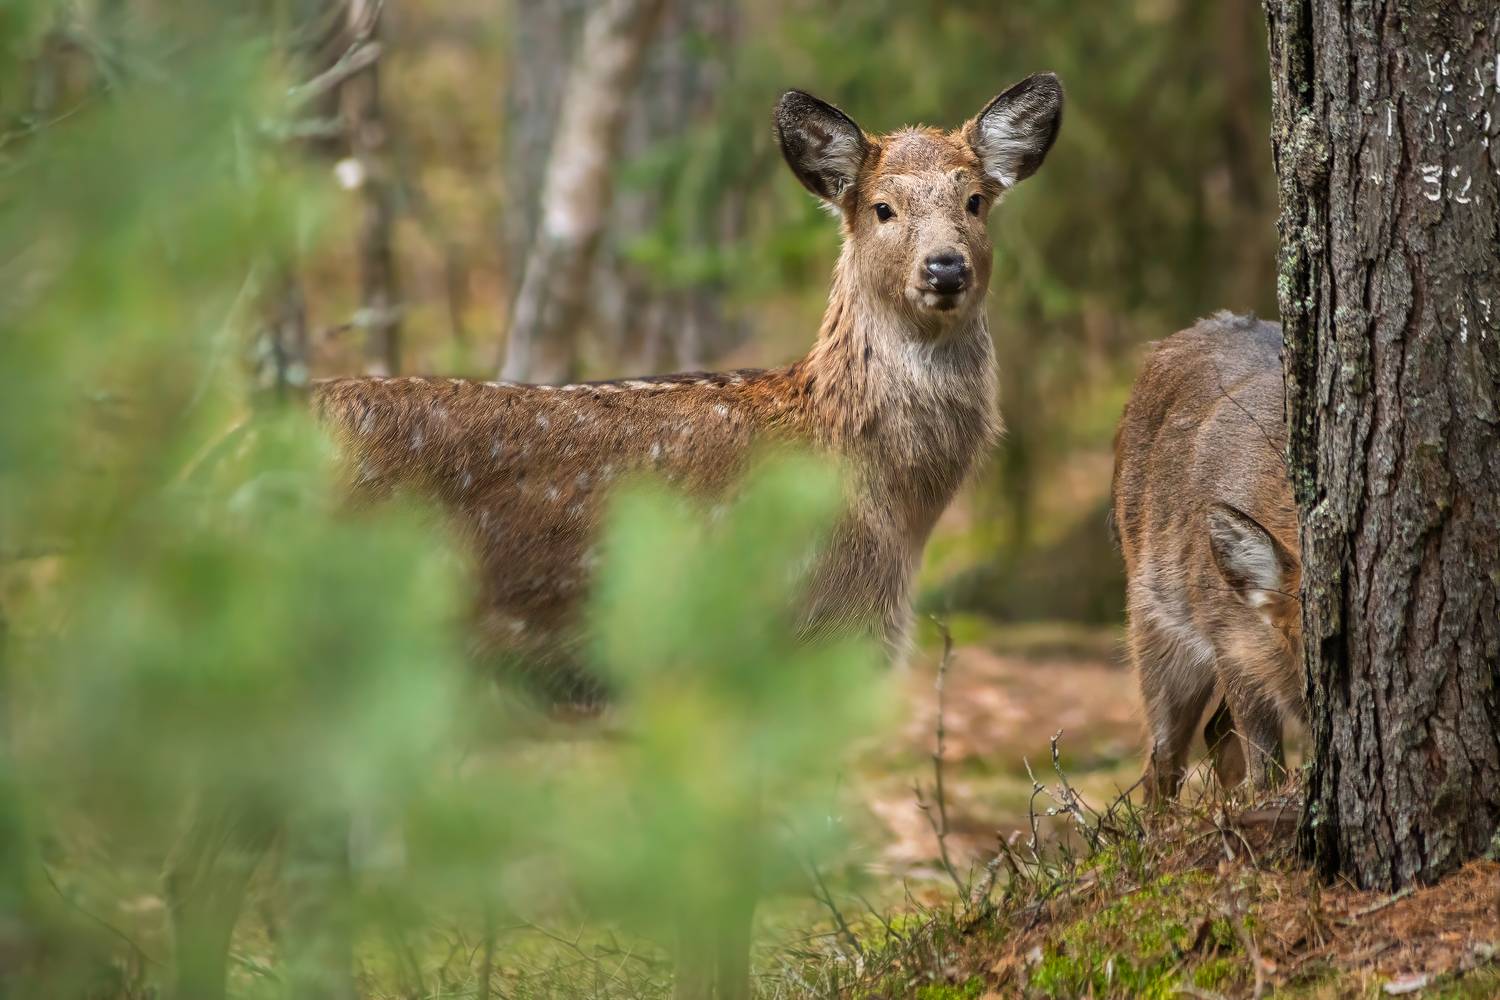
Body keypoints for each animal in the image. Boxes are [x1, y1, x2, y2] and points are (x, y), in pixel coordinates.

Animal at [163, 76, 1066, 1000]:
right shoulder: (736, 659)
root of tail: (209, 471)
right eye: (881, 207)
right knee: (210, 873)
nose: (946, 268)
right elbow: (721, 882)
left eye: (975, 199)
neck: (876, 495)